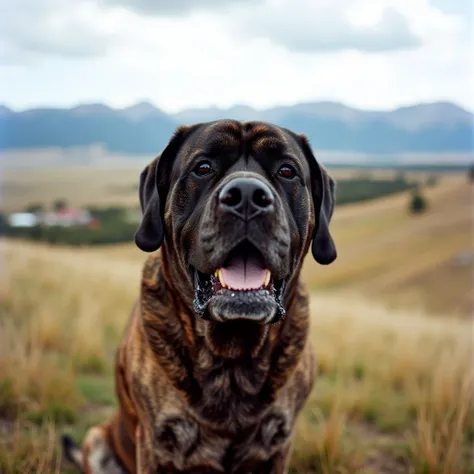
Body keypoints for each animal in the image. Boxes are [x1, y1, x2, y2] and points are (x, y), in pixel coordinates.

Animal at [62, 120, 336, 472]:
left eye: (287, 171)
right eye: (203, 168)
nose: (247, 196)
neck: (231, 358)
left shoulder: (278, 443)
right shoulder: (155, 444)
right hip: (96, 439)